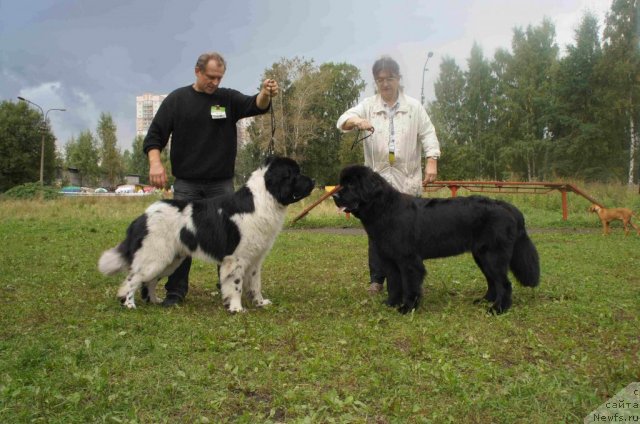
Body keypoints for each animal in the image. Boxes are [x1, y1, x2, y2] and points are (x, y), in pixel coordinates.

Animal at [98, 157, 316, 314]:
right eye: (296, 173)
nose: (314, 180)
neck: (263, 200)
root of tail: (142, 217)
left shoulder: (255, 259)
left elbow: (255, 284)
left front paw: (260, 303)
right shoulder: (236, 259)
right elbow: (236, 284)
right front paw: (236, 308)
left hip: (170, 259)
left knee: (149, 281)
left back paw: (155, 301)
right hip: (155, 257)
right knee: (131, 280)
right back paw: (129, 304)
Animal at [336, 166, 540, 314]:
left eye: (352, 185)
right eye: (341, 184)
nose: (335, 196)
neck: (385, 208)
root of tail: (506, 206)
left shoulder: (408, 261)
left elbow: (409, 286)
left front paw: (407, 308)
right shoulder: (390, 260)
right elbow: (394, 285)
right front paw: (391, 304)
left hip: (493, 255)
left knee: (504, 283)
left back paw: (498, 309)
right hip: (482, 256)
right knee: (492, 281)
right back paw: (484, 300)